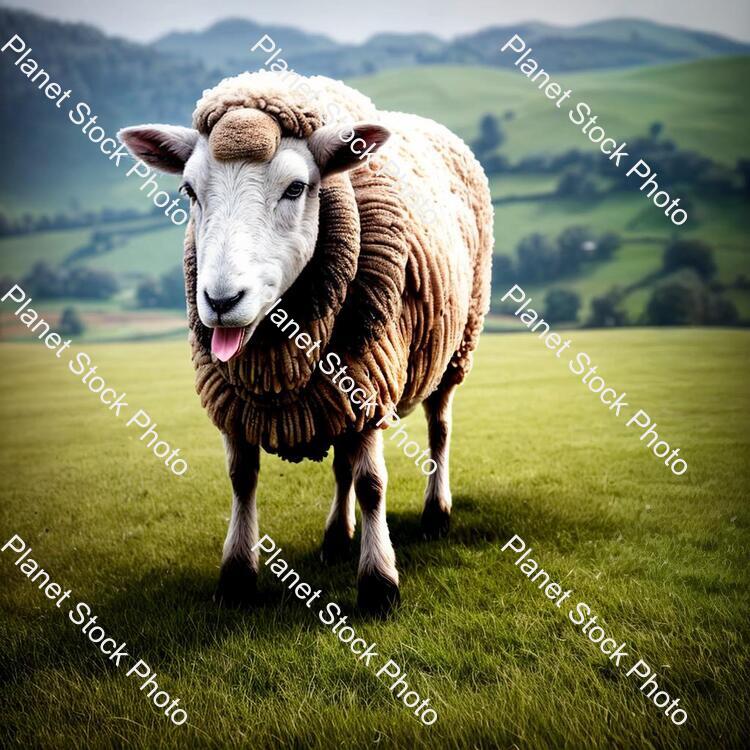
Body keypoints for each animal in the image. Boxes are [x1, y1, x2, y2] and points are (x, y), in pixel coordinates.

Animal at [119, 70, 493, 614]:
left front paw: (379, 584)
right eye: (189, 190)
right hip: (336, 396)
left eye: (297, 188)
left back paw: (435, 513)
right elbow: (242, 478)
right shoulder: (237, 399)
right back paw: (337, 537)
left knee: (439, 429)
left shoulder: (369, 379)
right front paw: (237, 576)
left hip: (455, 347)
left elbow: (372, 484)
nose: (221, 300)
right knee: (342, 463)